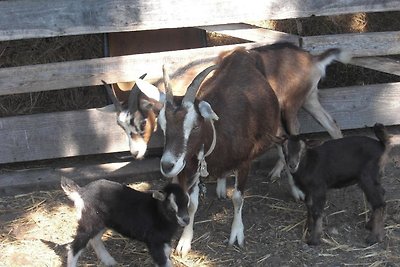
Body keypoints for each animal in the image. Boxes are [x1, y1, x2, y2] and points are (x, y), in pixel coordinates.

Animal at [159, 48, 282, 258]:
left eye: (195, 126)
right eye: (162, 125)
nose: (167, 165)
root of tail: (242, 52)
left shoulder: (245, 162)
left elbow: (238, 198)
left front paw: (236, 234)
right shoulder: (192, 166)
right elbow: (191, 204)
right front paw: (185, 241)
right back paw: (221, 185)